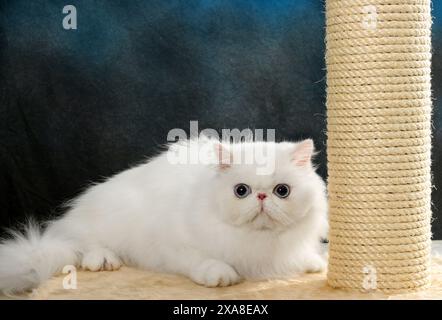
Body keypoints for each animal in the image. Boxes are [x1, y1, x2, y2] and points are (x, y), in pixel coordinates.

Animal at [0, 138, 328, 292]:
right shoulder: (175, 245)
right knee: (84, 248)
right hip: (106, 223)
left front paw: (315, 264)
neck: (260, 243)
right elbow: (203, 261)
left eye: (282, 191)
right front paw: (221, 276)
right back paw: (104, 261)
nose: (261, 197)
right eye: (241, 191)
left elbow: (305, 256)